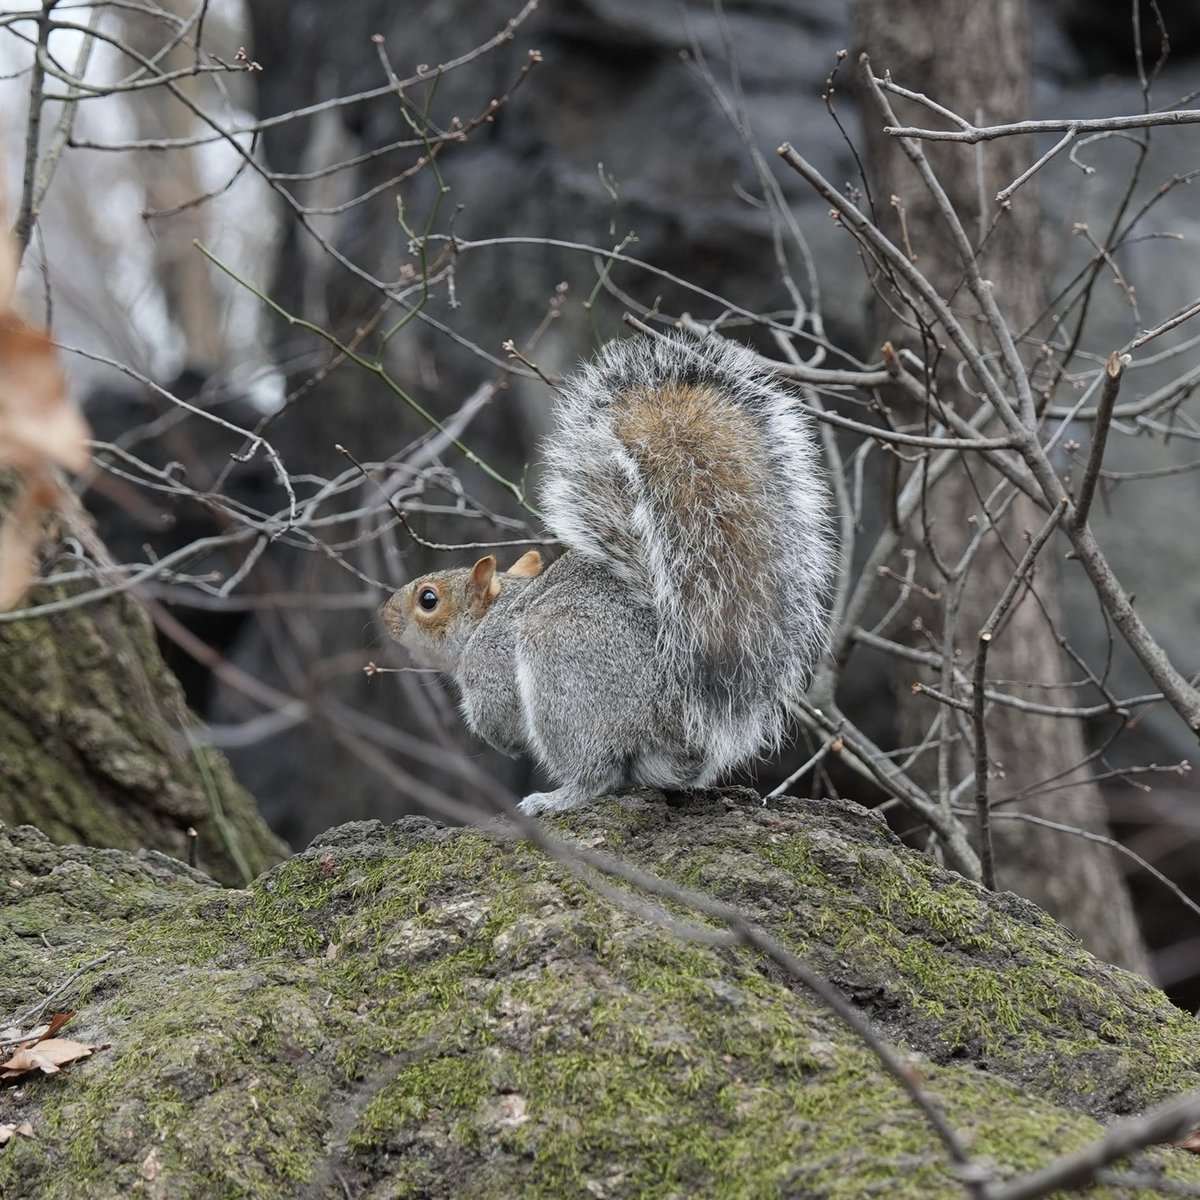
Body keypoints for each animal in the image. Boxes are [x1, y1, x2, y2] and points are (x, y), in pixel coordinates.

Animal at [380, 331, 835, 815]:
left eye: (428, 599)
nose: (385, 614)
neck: (488, 618)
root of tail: (677, 723)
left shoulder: (491, 663)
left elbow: (496, 713)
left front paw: (500, 740)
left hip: (563, 676)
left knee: (598, 773)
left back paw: (556, 798)